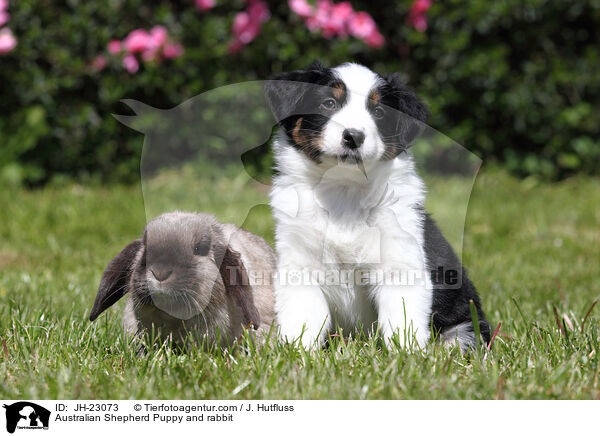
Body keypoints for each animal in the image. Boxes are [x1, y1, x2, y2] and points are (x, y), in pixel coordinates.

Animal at [264, 60, 490, 350]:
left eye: (379, 112)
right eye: (328, 103)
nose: (353, 136)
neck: (344, 191)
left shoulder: (400, 263)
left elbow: (402, 322)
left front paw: (407, 355)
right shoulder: (299, 265)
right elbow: (302, 319)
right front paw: (297, 353)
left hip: (465, 329)